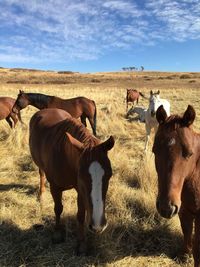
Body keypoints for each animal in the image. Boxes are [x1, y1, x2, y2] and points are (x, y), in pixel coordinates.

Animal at [28, 108, 115, 255]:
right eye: (81, 175)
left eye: (109, 175)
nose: (98, 225)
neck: (65, 157)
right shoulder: (55, 187)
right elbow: (58, 208)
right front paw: (57, 233)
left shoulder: (81, 190)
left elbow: (80, 215)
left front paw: (82, 243)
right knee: (41, 174)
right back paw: (41, 194)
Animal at [152, 104, 200, 267]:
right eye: (155, 150)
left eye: (189, 154)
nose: (166, 208)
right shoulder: (184, 209)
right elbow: (186, 230)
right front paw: (184, 255)